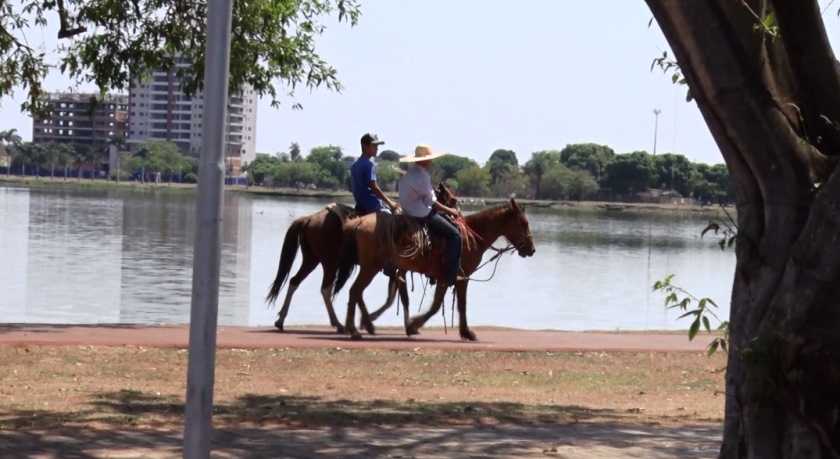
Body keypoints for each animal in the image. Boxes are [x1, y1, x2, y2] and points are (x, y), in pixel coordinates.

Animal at [266, 187, 456, 334]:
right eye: (452, 201)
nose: (456, 218)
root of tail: (309, 218)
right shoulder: (396, 270)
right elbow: (401, 298)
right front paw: (406, 325)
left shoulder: (391, 270)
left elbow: (389, 299)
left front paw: (369, 321)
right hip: (330, 262)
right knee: (326, 288)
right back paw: (338, 324)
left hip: (312, 259)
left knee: (294, 281)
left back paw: (281, 320)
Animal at [332, 196, 536, 340]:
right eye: (523, 223)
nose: (532, 249)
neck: (471, 238)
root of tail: (358, 221)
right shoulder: (458, 277)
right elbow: (446, 305)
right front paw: (415, 324)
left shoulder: (447, 278)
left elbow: (446, 304)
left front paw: (464, 332)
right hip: (371, 266)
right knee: (355, 291)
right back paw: (354, 330)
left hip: (370, 267)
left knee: (357, 292)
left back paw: (360, 325)